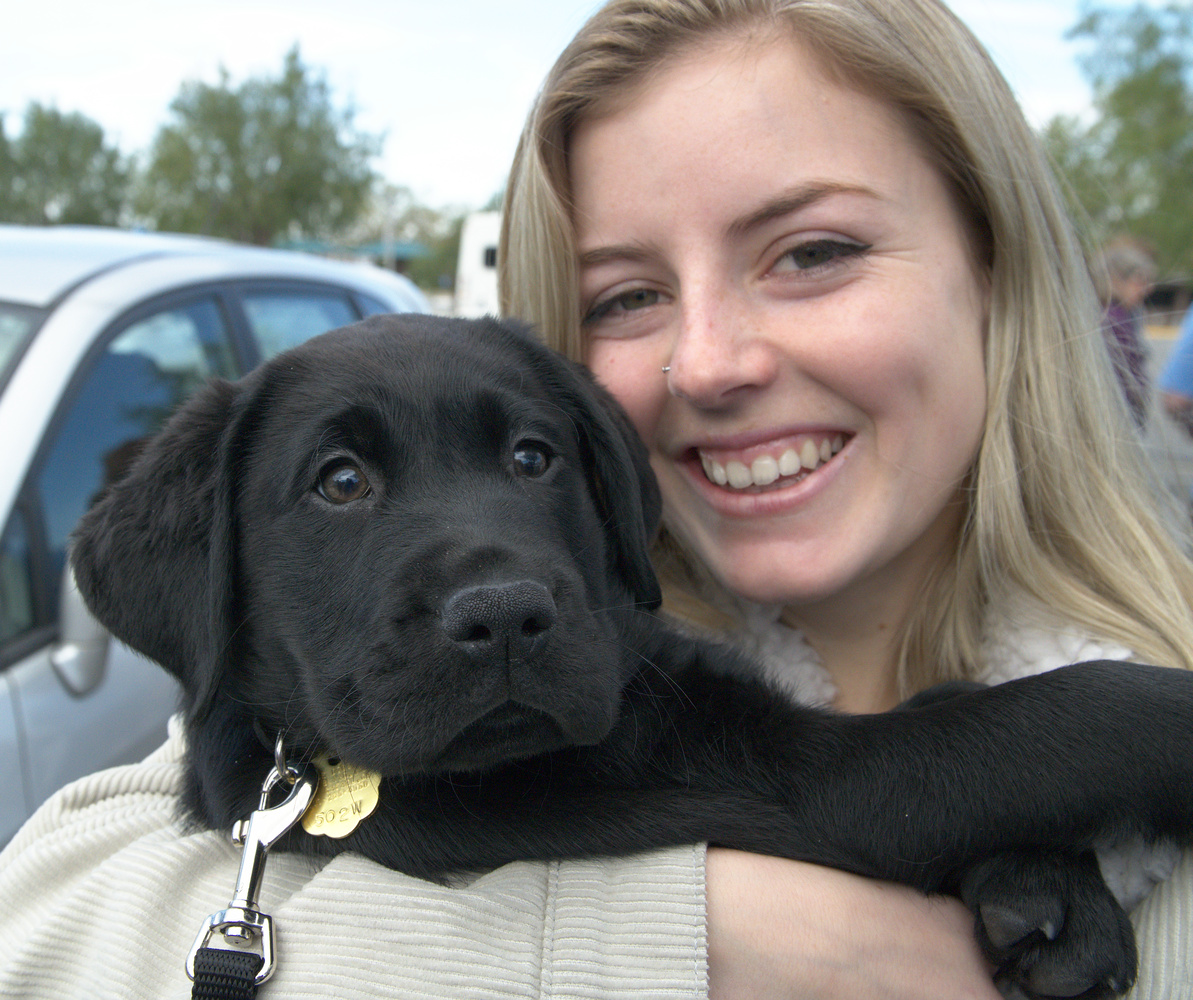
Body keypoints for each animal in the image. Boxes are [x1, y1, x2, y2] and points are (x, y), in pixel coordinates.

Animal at [73, 314, 1193, 998]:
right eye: (339, 483)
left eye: (533, 456)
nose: (507, 614)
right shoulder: (797, 780)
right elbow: (1043, 719)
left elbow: (962, 701)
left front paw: (1049, 897)